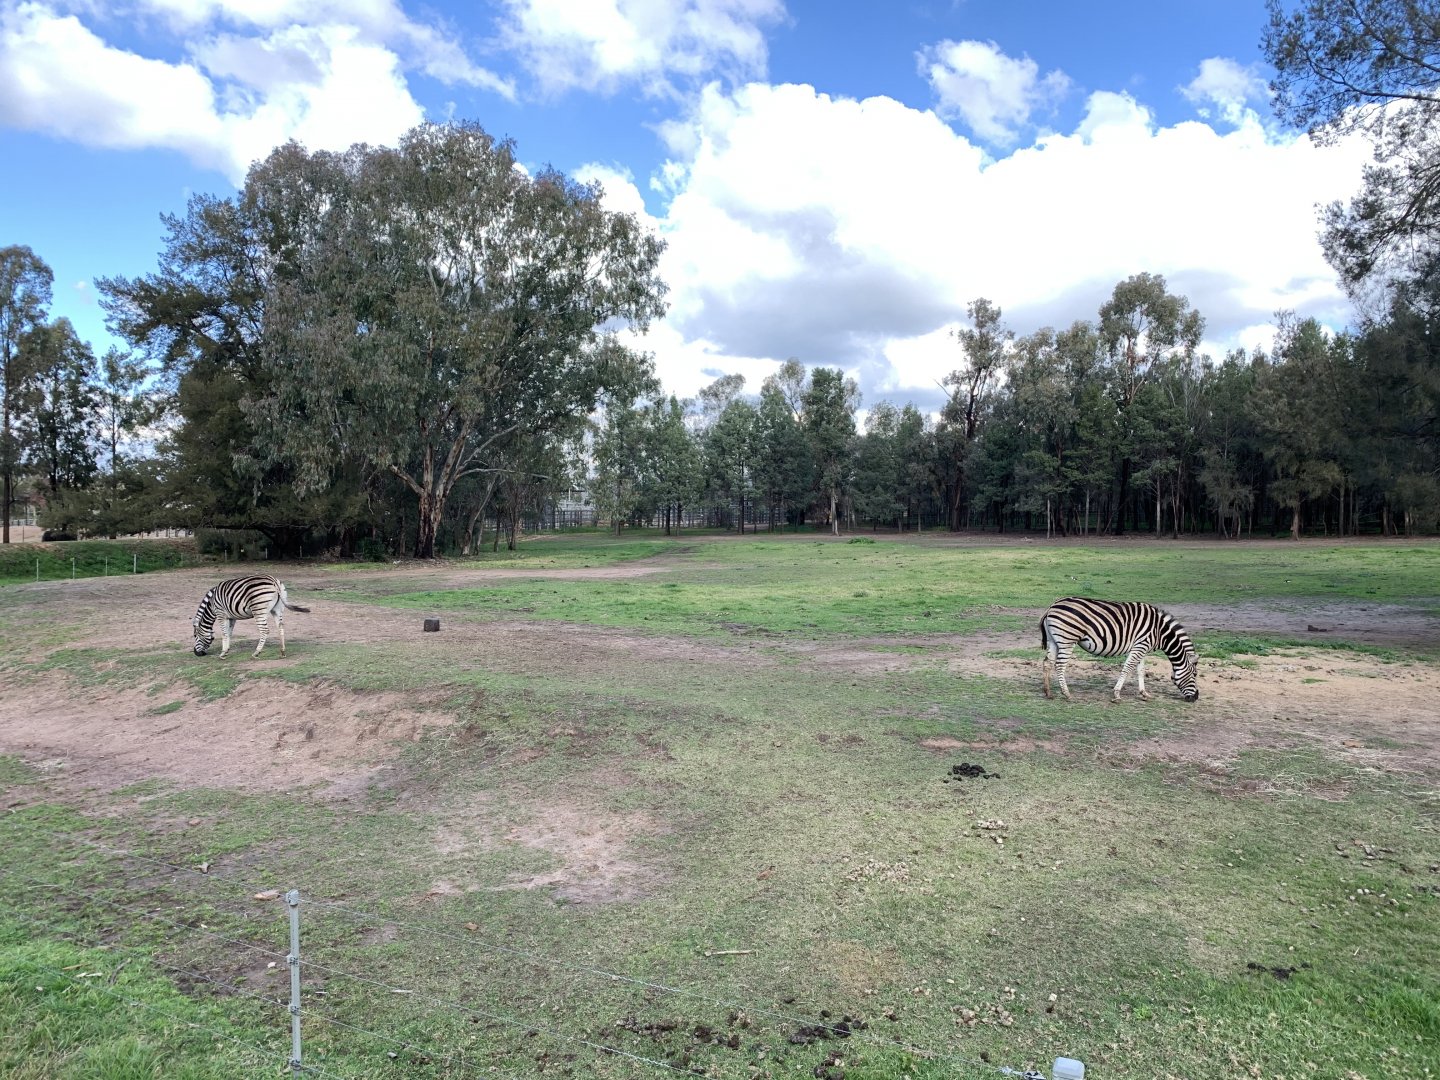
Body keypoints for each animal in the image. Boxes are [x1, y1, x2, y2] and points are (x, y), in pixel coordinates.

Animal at [1040, 597, 1199, 702]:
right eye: (1195, 675)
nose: (1196, 697)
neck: (1160, 633)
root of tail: (1052, 606)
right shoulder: (1140, 646)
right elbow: (1128, 668)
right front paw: (1116, 694)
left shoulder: (1142, 647)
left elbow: (1141, 670)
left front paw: (1144, 693)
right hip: (1067, 639)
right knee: (1060, 665)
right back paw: (1066, 693)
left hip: (1054, 640)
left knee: (1048, 662)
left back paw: (1048, 693)